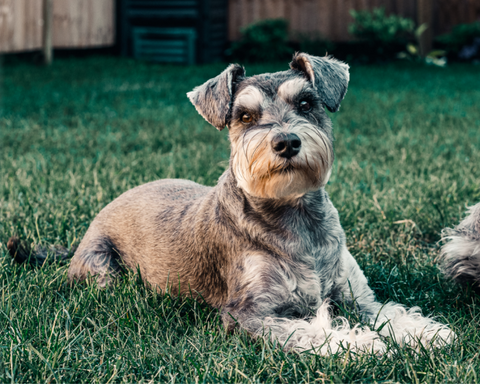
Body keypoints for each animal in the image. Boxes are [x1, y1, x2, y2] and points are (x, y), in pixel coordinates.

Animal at [10, 52, 454, 354]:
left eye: (306, 103)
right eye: (244, 116)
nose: (286, 142)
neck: (297, 218)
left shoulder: (356, 296)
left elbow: (388, 312)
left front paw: (426, 331)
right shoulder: (249, 313)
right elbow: (308, 330)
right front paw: (359, 345)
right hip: (103, 272)